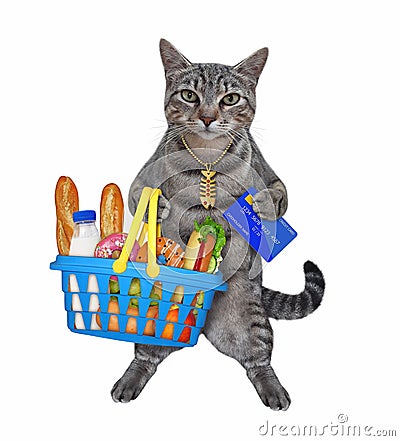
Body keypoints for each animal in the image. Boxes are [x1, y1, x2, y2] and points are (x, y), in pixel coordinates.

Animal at [110, 39, 324, 410]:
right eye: (189, 95)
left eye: (231, 98)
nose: (208, 117)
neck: (207, 156)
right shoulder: (145, 173)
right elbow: (138, 193)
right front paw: (158, 204)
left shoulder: (268, 171)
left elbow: (280, 192)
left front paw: (263, 204)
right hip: (153, 318)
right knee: (146, 356)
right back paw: (129, 380)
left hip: (251, 325)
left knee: (258, 360)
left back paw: (273, 389)